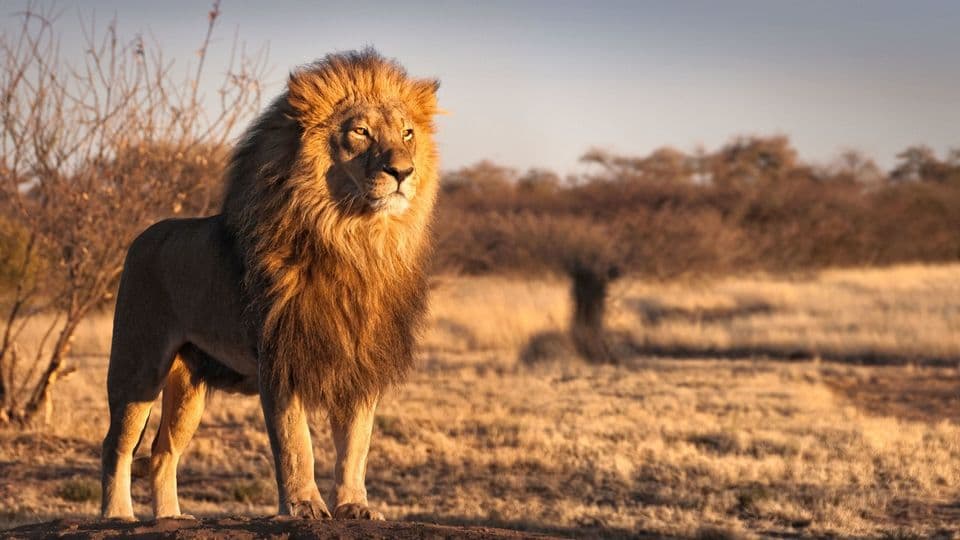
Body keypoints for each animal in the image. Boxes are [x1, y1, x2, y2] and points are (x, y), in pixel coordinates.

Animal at [100, 49, 440, 521]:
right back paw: (117, 515)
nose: (403, 171)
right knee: (116, 444)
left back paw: (170, 518)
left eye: (408, 133)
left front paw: (354, 506)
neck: (355, 240)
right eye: (360, 131)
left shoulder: (360, 361)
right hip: (139, 364)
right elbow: (296, 443)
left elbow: (356, 445)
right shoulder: (280, 356)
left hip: (189, 385)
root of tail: (142, 236)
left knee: (162, 451)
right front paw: (304, 506)